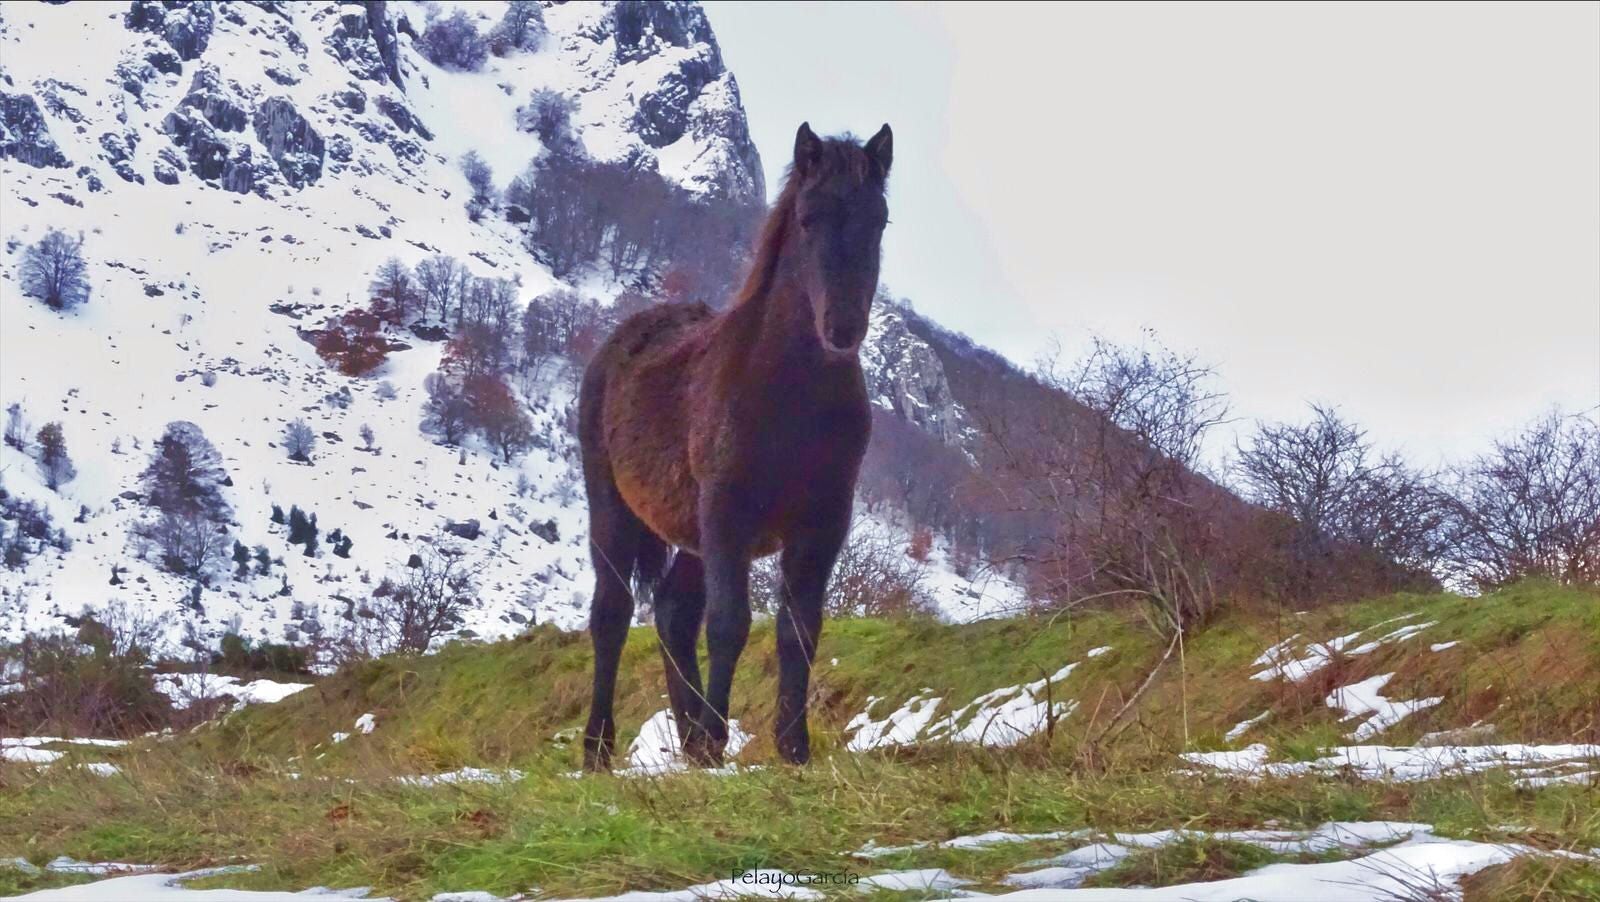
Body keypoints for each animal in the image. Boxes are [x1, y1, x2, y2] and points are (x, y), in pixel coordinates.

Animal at [582, 123, 896, 770]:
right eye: (808, 217)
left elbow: (799, 629)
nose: (844, 329)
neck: (789, 398)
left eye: (879, 220)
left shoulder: (822, 525)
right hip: (616, 517)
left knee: (673, 616)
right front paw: (719, 740)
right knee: (612, 616)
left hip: (691, 535)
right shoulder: (729, 515)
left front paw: (792, 746)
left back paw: (690, 739)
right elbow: (730, 624)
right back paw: (600, 748)